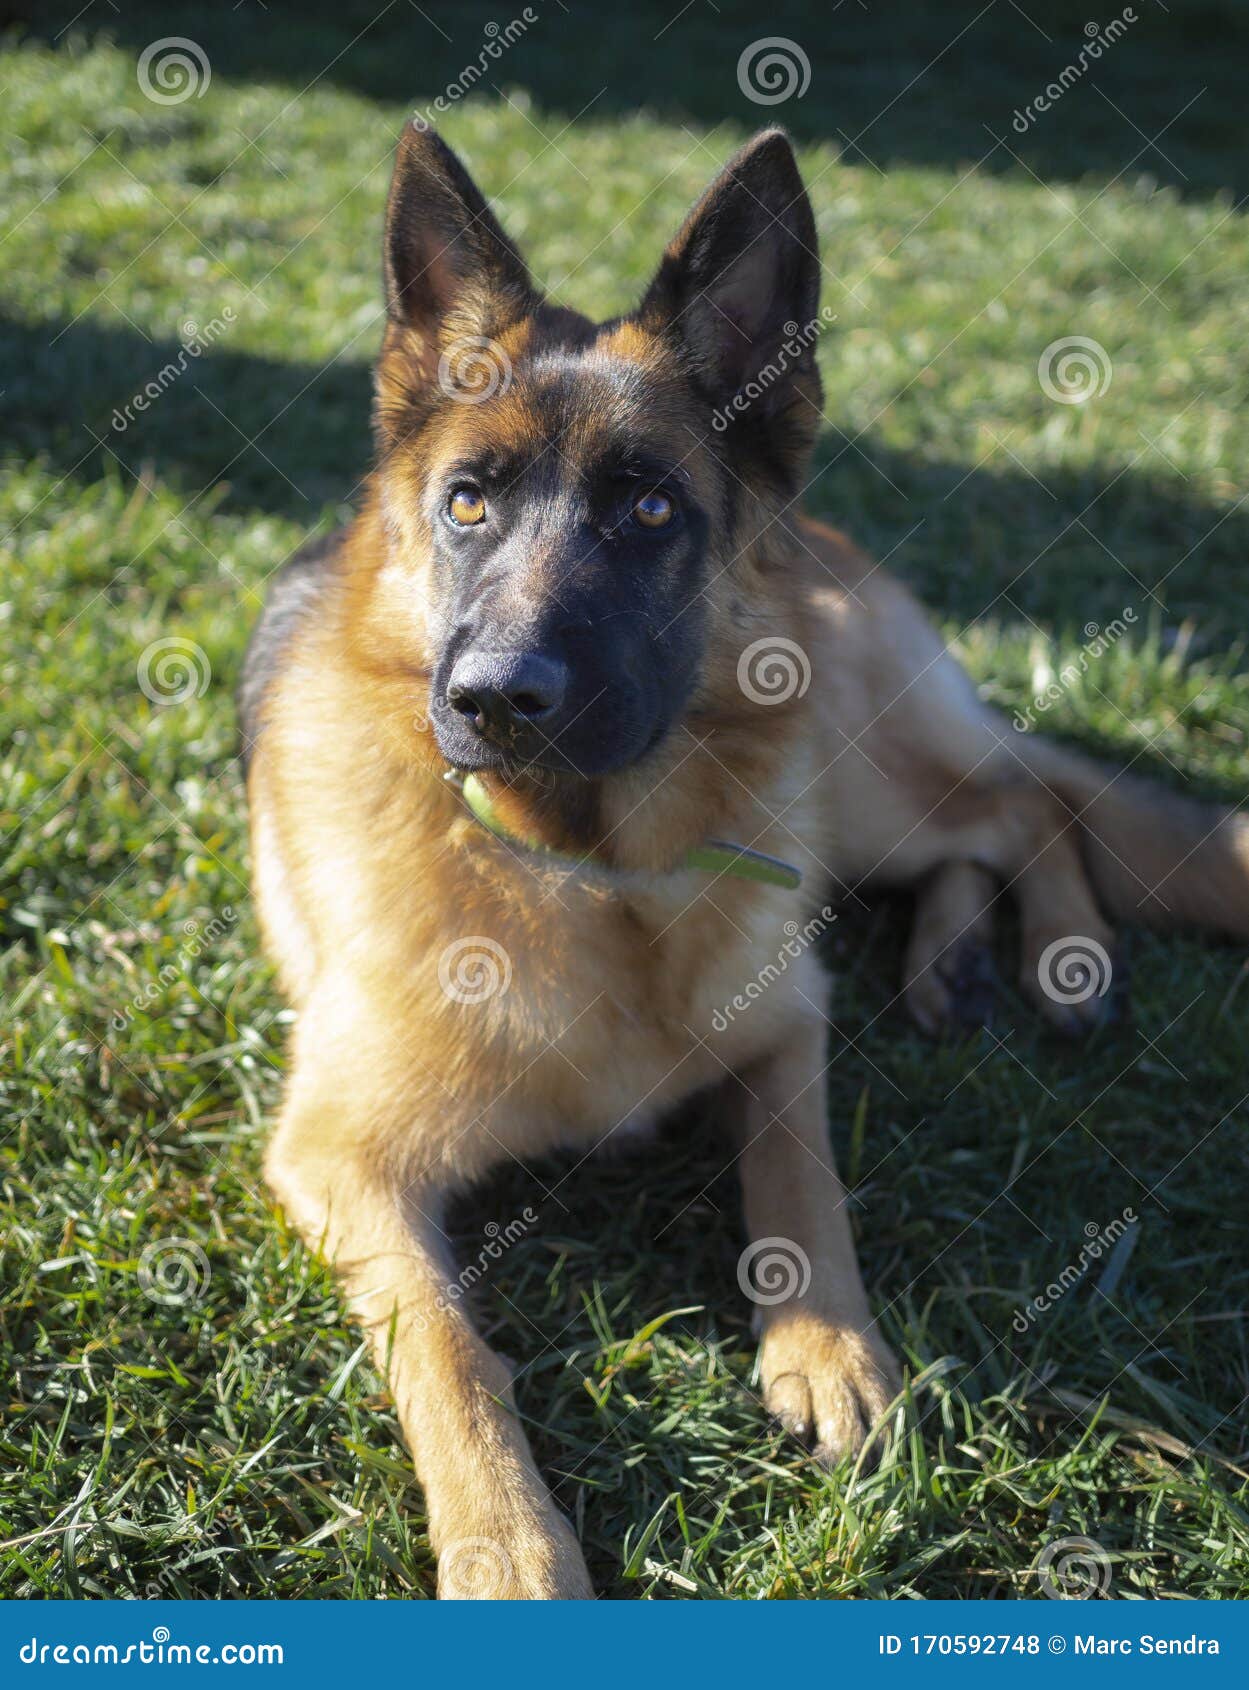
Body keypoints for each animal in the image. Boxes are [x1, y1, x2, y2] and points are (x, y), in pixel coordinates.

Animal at [239, 125, 1249, 1588]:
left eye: (651, 510)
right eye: (469, 502)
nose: (490, 697)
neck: (594, 873)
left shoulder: (784, 1027)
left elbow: (798, 1173)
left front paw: (828, 1349)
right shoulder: (339, 1158)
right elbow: (448, 1344)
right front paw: (505, 1538)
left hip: (855, 768)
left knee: (1026, 798)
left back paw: (1059, 958)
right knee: (1007, 810)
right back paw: (955, 962)